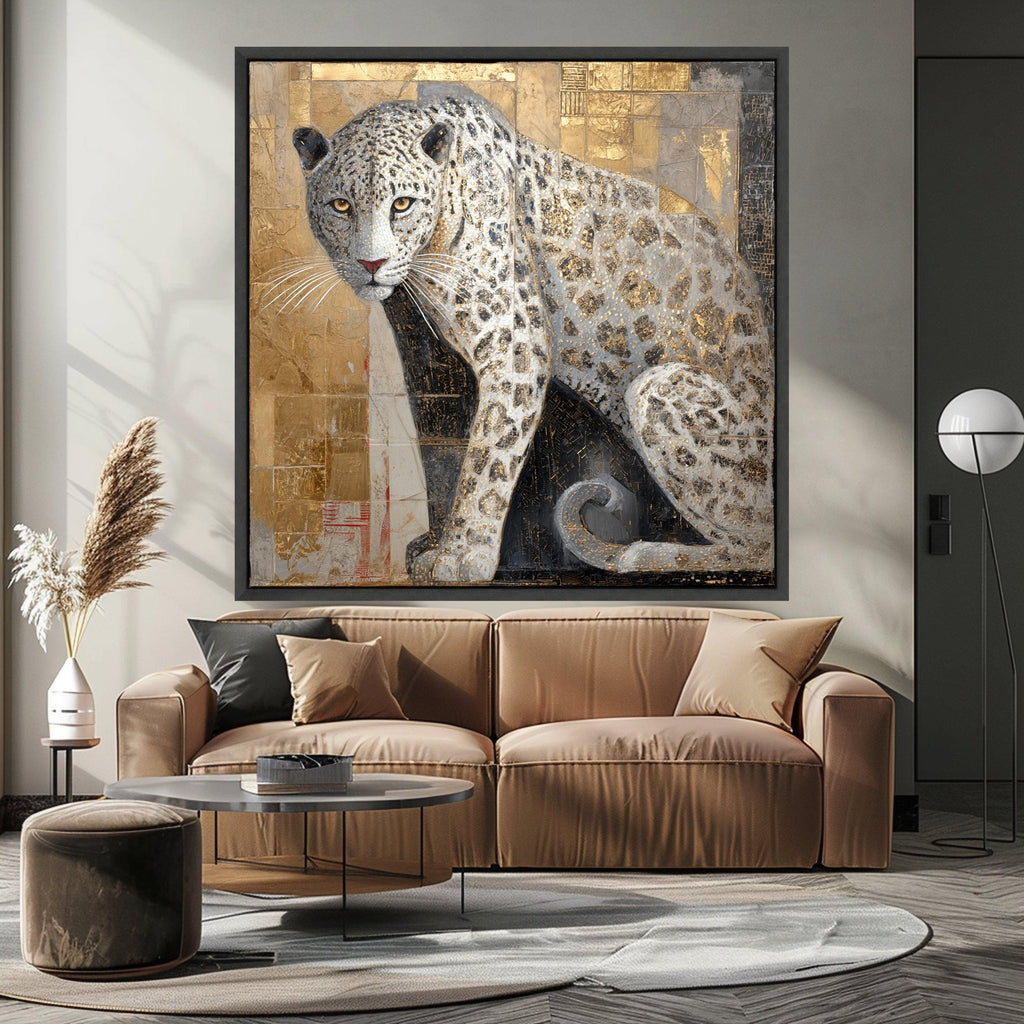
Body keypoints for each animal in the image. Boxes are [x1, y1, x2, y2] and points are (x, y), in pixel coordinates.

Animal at [291, 92, 774, 583]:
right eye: (341, 206)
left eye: (402, 204)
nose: (371, 263)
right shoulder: (426, 356)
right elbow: (440, 450)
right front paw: (436, 545)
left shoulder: (514, 347)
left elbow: (488, 457)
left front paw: (463, 555)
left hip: (658, 387)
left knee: (757, 543)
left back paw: (642, 556)